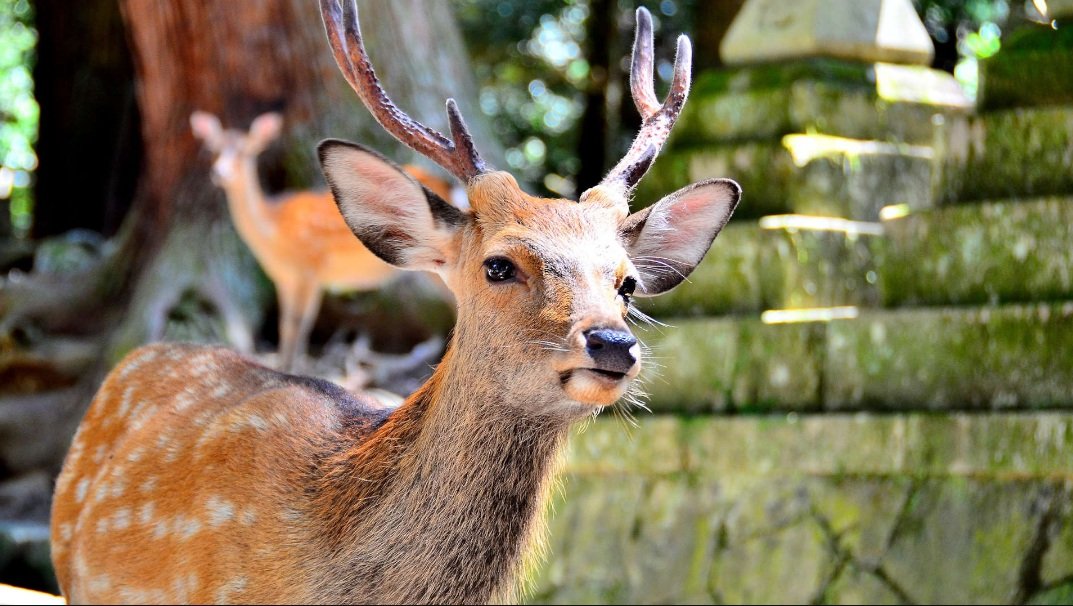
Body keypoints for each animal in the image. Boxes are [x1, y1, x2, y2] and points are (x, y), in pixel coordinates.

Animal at [189, 110, 456, 372]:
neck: (272, 232)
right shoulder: (284, 278)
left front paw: (292, 369)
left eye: (246, 151)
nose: (220, 173)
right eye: (213, 149)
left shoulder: (308, 269)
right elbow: (286, 325)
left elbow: (299, 325)